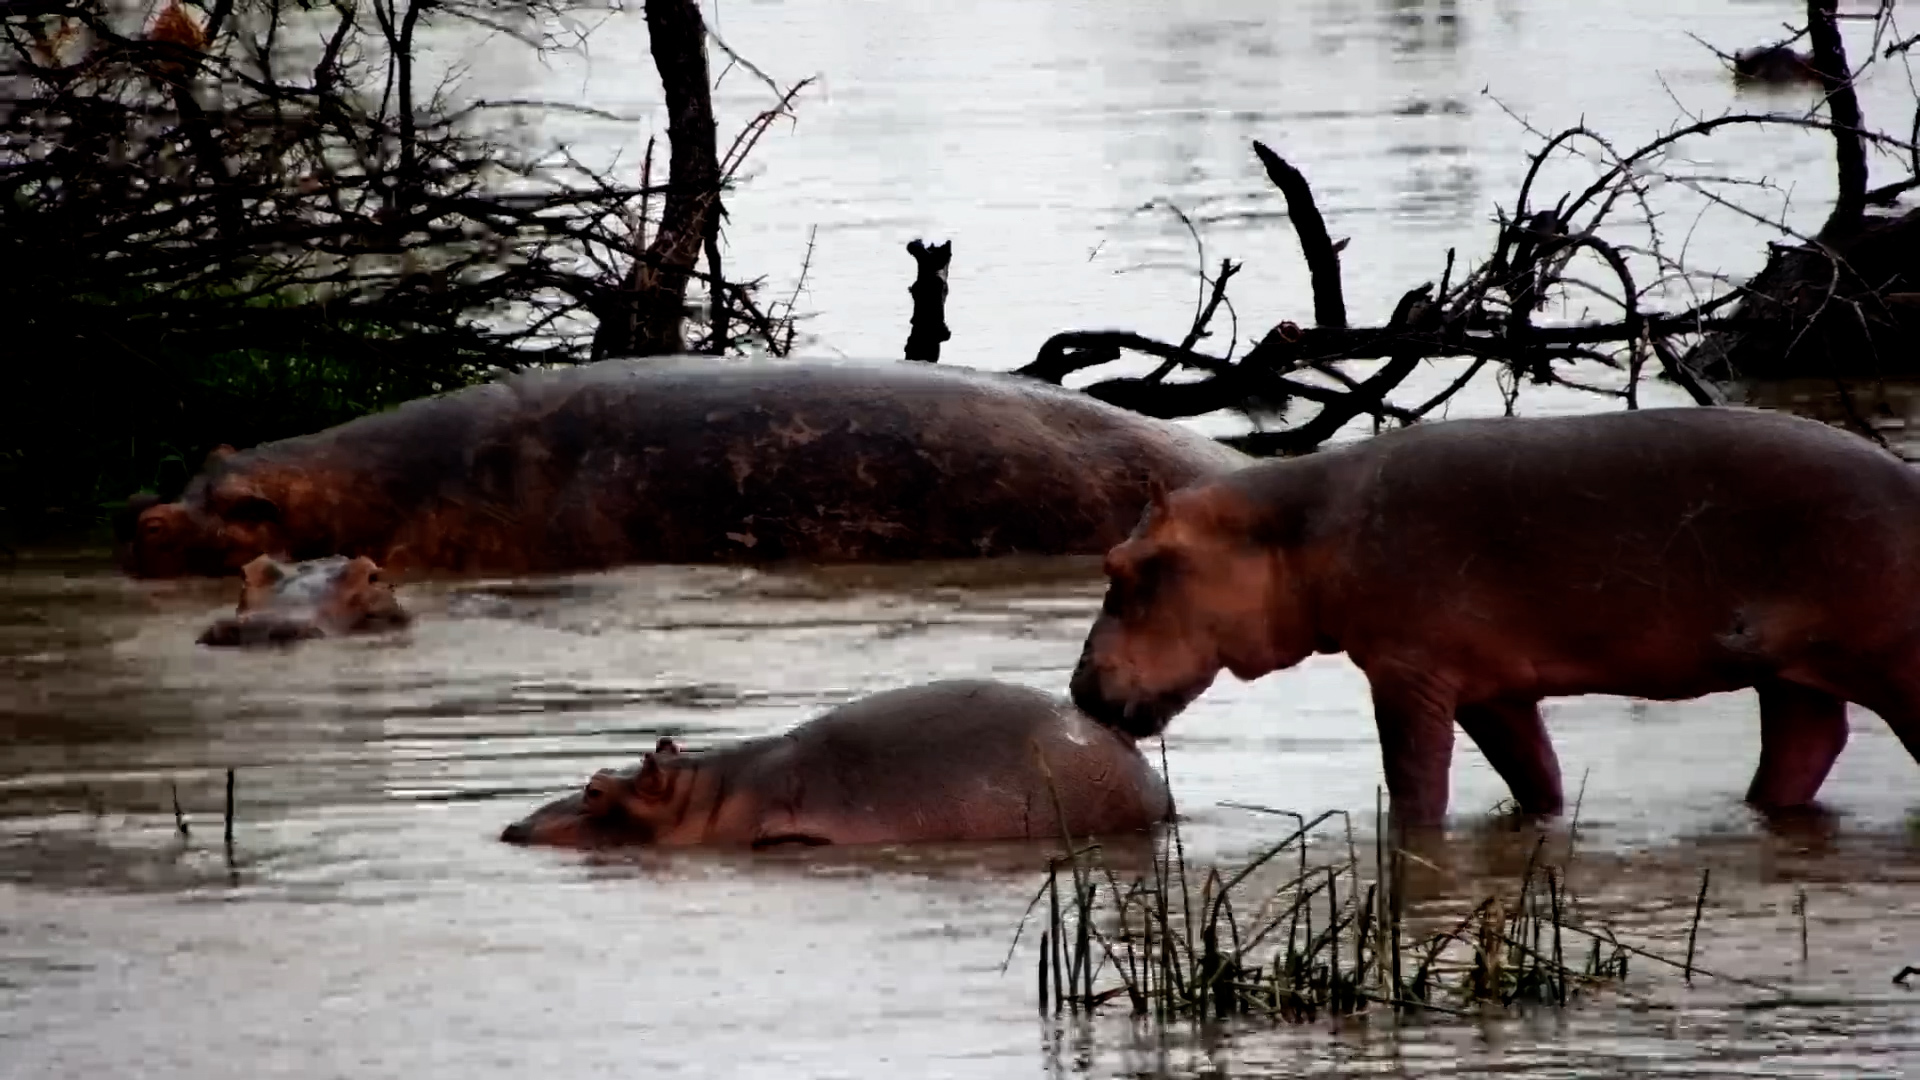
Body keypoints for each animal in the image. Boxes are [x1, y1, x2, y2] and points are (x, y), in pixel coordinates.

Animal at [1067, 406, 1920, 828]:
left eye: (1125, 568)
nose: (1078, 688)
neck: (1292, 530)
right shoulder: (1491, 686)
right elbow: (1532, 771)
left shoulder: (1408, 669)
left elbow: (1416, 778)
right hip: (1791, 669)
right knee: (1805, 744)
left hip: (1890, 659)